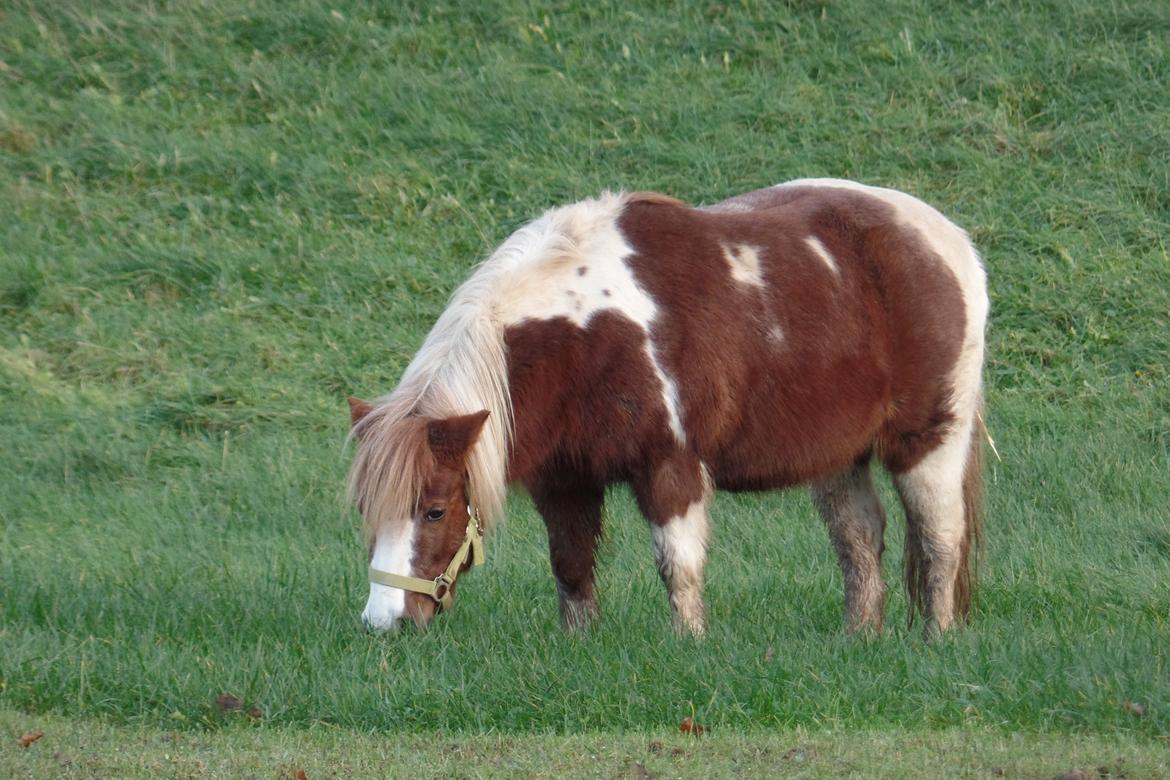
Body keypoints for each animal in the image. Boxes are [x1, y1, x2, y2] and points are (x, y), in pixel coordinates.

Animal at [346, 178, 987, 640]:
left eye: (434, 511)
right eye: (364, 509)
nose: (385, 623)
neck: (585, 336)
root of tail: (950, 241)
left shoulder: (669, 466)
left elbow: (678, 566)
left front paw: (689, 646)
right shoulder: (564, 479)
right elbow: (571, 565)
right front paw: (578, 646)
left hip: (930, 438)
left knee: (941, 537)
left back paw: (937, 638)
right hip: (839, 455)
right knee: (860, 539)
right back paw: (859, 639)